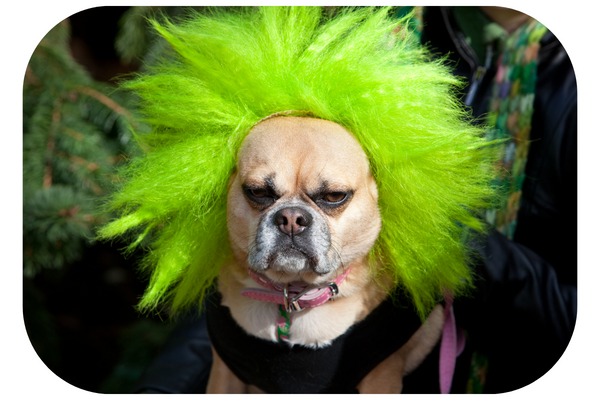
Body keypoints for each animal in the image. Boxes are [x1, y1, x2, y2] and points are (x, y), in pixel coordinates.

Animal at [205, 115, 446, 394]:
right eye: (257, 192)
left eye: (334, 196)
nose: (291, 218)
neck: (292, 295)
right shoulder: (224, 374)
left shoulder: (380, 377)